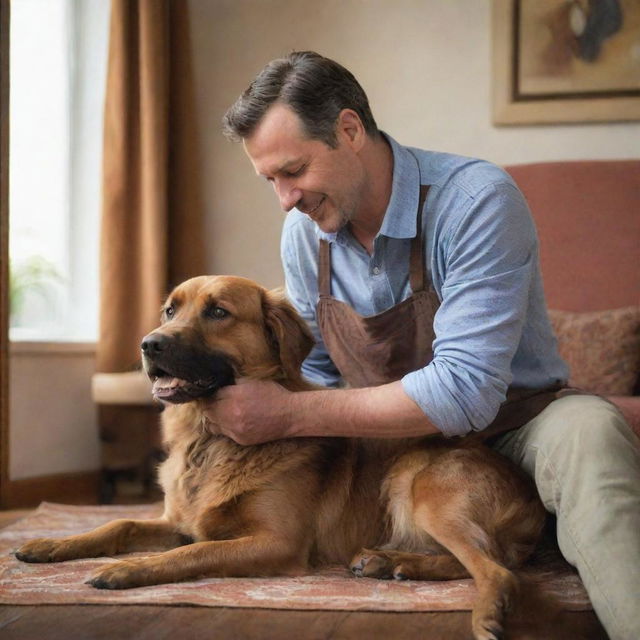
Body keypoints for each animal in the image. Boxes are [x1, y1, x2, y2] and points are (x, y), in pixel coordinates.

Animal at [15, 276, 544, 640]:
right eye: (169, 309)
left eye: (218, 312)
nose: (149, 344)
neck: (211, 440)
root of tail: (532, 500)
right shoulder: (179, 520)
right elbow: (118, 524)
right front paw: (52, 545)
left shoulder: (275, 542)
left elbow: (193, 552)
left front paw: (128, 570)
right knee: (463, 560)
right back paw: (387, 563)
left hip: (418, 484)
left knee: (496, 570)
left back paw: (484, 613)